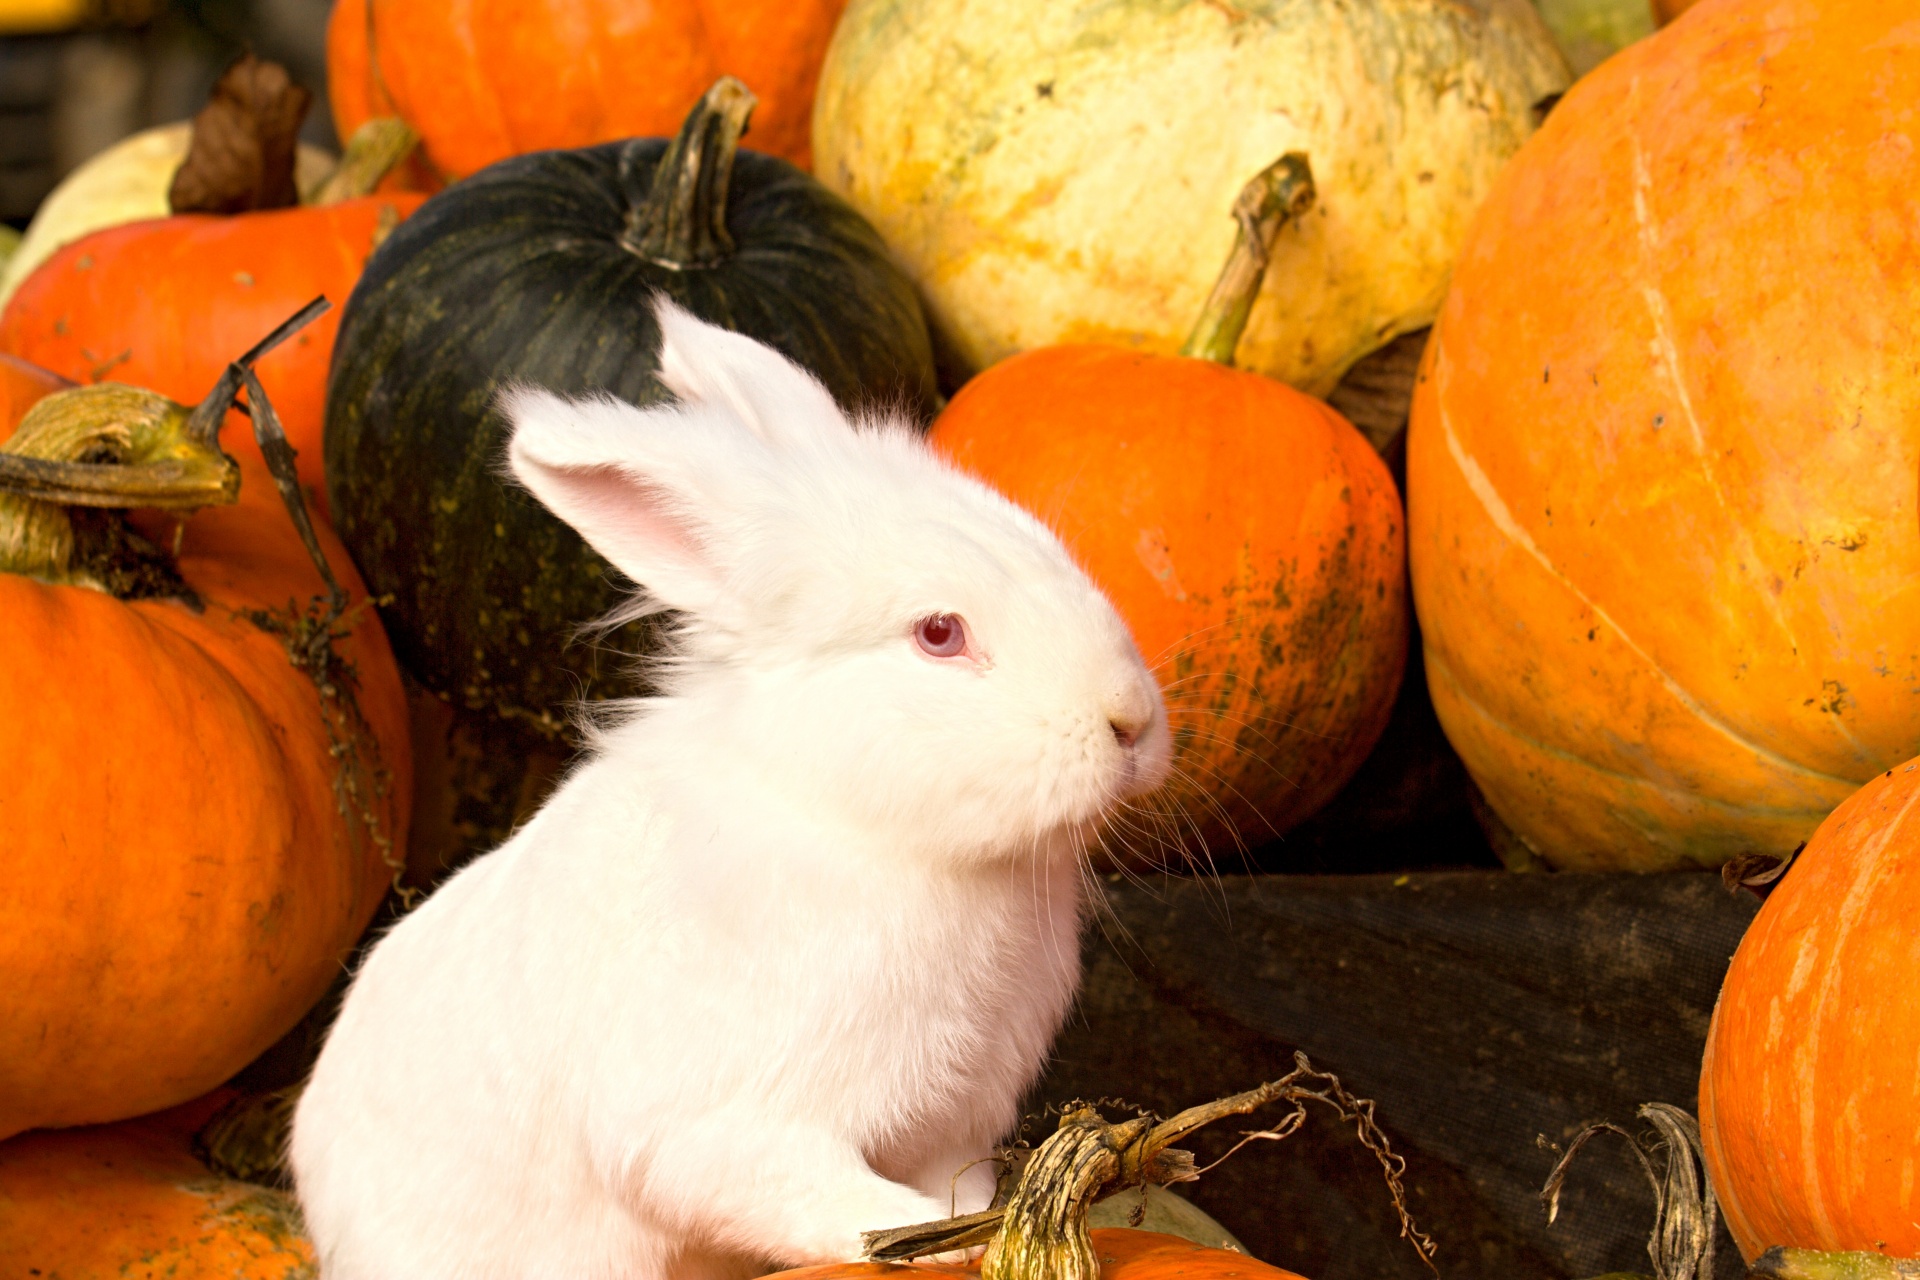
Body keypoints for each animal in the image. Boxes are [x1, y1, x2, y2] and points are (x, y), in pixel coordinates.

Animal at [291, 303, 1167, 1280]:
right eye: (939, 633)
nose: (1133, 722)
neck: (870, 828)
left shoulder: (953, 1122)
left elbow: (957, 1185)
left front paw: (978, 1219)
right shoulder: (724, 1124)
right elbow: (831, 1204)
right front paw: (947, 1244)